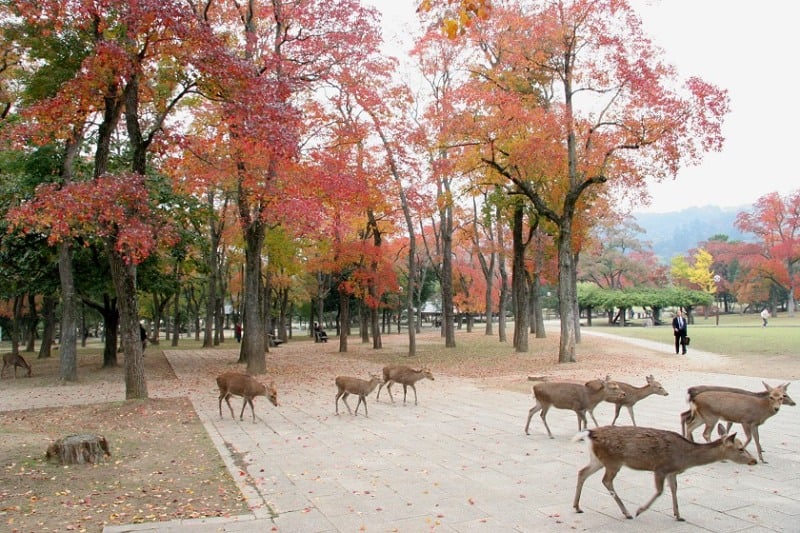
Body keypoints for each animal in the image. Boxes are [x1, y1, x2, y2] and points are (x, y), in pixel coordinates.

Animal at [573, 424, 756, 521]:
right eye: (741, 448)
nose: (753, 461)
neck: (685, 457)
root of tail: (590, 433)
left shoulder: (672, 472)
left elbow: (674, 489)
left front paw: (678, 515)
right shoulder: (661, 468)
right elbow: (660, 491)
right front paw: (640, 510)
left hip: (597, 460)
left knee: (582, 472)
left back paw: (577, 507)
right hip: (613, 461)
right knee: (606, 481)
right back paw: (627, 513)